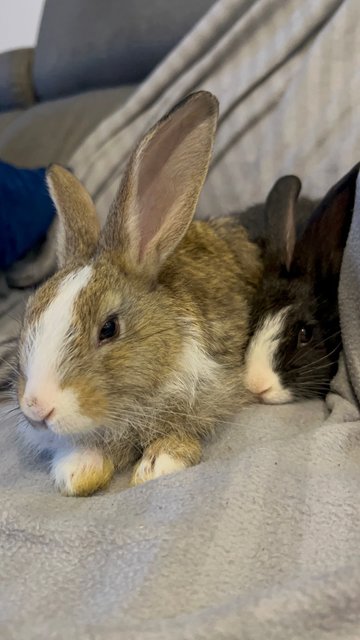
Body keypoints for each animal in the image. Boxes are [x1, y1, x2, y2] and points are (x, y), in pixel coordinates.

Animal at [16, 92, 262, 498]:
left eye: (109, 329)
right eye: (28, 315)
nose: (37, 408)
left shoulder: (208, 389)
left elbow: (182, 428)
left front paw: (158, 464)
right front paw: (78, 470)